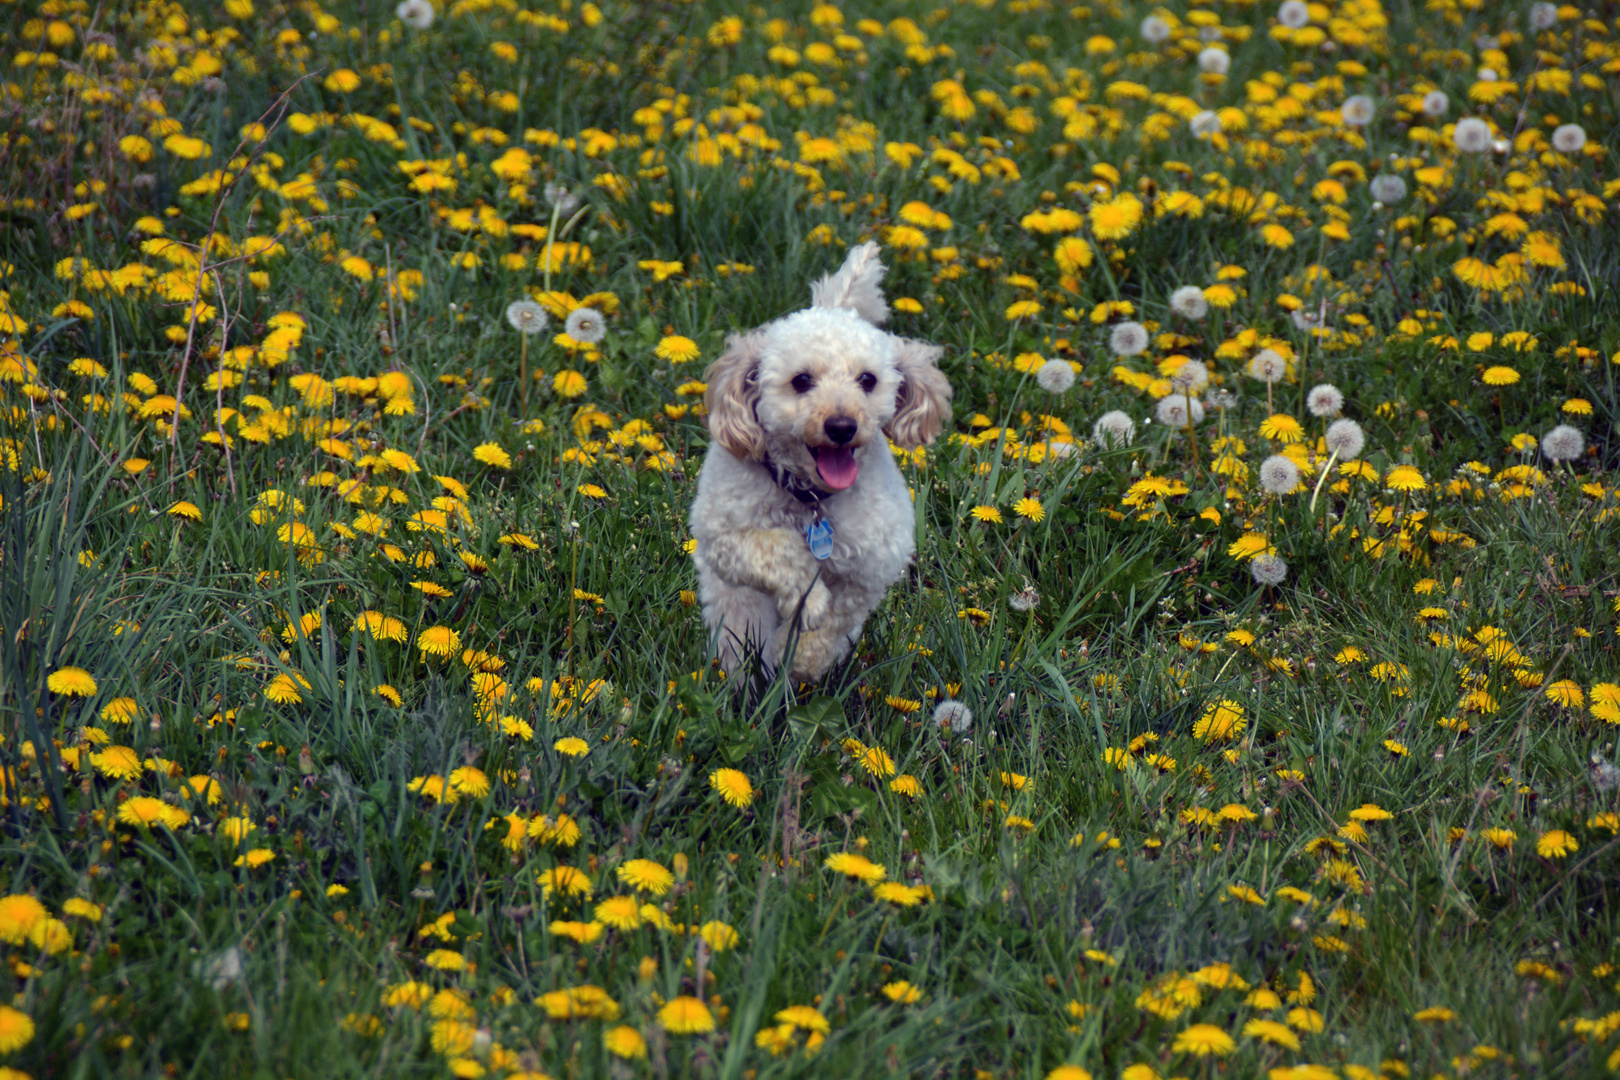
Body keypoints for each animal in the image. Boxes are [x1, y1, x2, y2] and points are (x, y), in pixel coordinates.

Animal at [683, 246, 946, 683]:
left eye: (867, 380)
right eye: (801, 380)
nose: (841, 426)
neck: (812, 499)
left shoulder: (873, 564)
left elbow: (837, 617)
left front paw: (801, 657)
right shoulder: (724, 537)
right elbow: (779, 549)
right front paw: (808, 602)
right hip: (729, 596)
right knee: (738, 625)